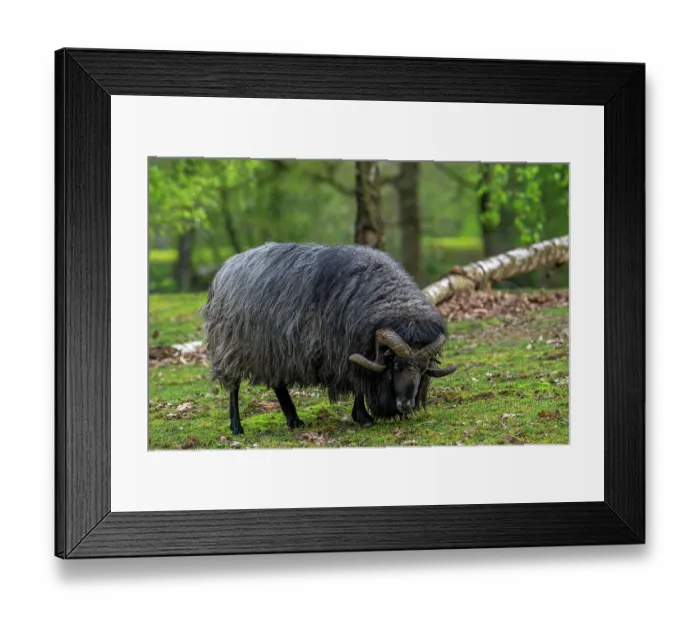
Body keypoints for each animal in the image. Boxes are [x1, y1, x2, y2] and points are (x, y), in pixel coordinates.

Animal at [201, 242, 457, 435]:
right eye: (395, 364)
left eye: (423, 368)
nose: (406, 405)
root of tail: (226, 268)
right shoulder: (345, 349)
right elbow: (358, 385)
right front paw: (363, 417)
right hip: (232, 346)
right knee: (234, 386)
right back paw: (237, 427)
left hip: (274, 349)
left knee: (278, 383)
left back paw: (294, 420)